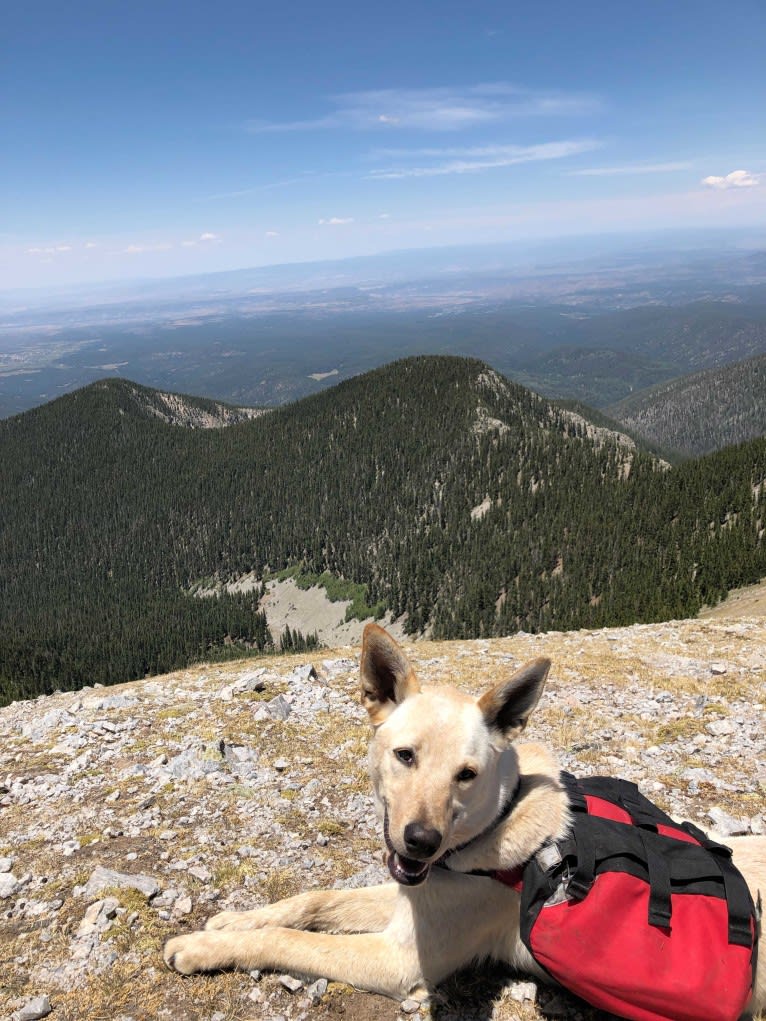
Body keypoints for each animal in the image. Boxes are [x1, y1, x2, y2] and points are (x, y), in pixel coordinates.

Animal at [163, 620, 766, 1012]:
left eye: (467, 774)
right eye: (405, 755)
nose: (421, 842)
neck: (495, 827)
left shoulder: (400, 956)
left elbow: (291, 941)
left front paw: (202, 948)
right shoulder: (411, 892)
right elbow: (314, 901)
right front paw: (234, 920)